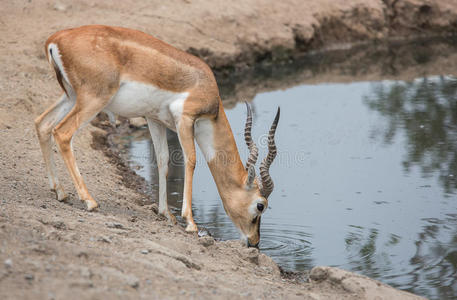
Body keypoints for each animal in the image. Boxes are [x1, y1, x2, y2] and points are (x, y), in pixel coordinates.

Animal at [34, 25, 278, 246]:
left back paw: (60, 192)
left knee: (42, 124)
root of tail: (56, 40)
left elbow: (163, 160)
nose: (254, 242)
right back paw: (89, 201)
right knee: (62, 133)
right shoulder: (185, 119)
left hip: (71, 97)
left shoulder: (155, 120)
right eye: (260, 205)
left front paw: (166, 214)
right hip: (93, 99)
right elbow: (190, 160)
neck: (203, 84)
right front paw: (190, 222)